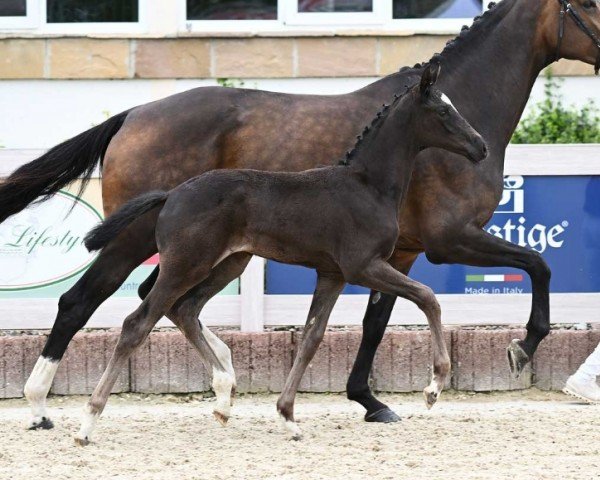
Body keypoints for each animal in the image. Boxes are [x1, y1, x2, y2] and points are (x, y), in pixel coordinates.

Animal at [76, 65, 488, 444]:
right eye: (444, 111)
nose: (481, 147)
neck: (368, 187)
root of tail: (171, 194)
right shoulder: (364, 266)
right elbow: (428, 297)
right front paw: (434, 386)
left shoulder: (332, 274)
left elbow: (310, 339)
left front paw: (288, 416)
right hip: (185, 265)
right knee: (138, 323)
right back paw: (87, 423)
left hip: (227, 264)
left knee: (185, 309)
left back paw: (223, 399)